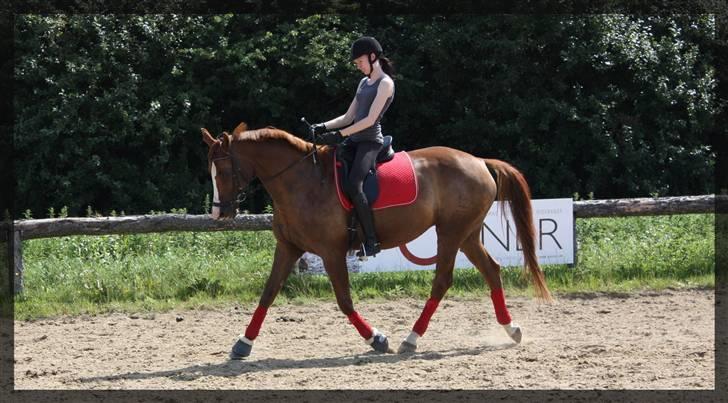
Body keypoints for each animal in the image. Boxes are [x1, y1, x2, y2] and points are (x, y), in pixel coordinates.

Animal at [199, 121, 552, 358]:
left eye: (223, 172)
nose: (218, 213)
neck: (301, 182)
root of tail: (479, 161)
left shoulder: (331, 252)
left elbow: (344, 301)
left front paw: (377, 339)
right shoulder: (288, 248)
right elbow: (268, 294)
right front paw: (243, 343)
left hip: (451, 233)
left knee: (443, 280)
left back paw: (411, 338)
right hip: (466, 234)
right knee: (491, 270)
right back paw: (511, 329)